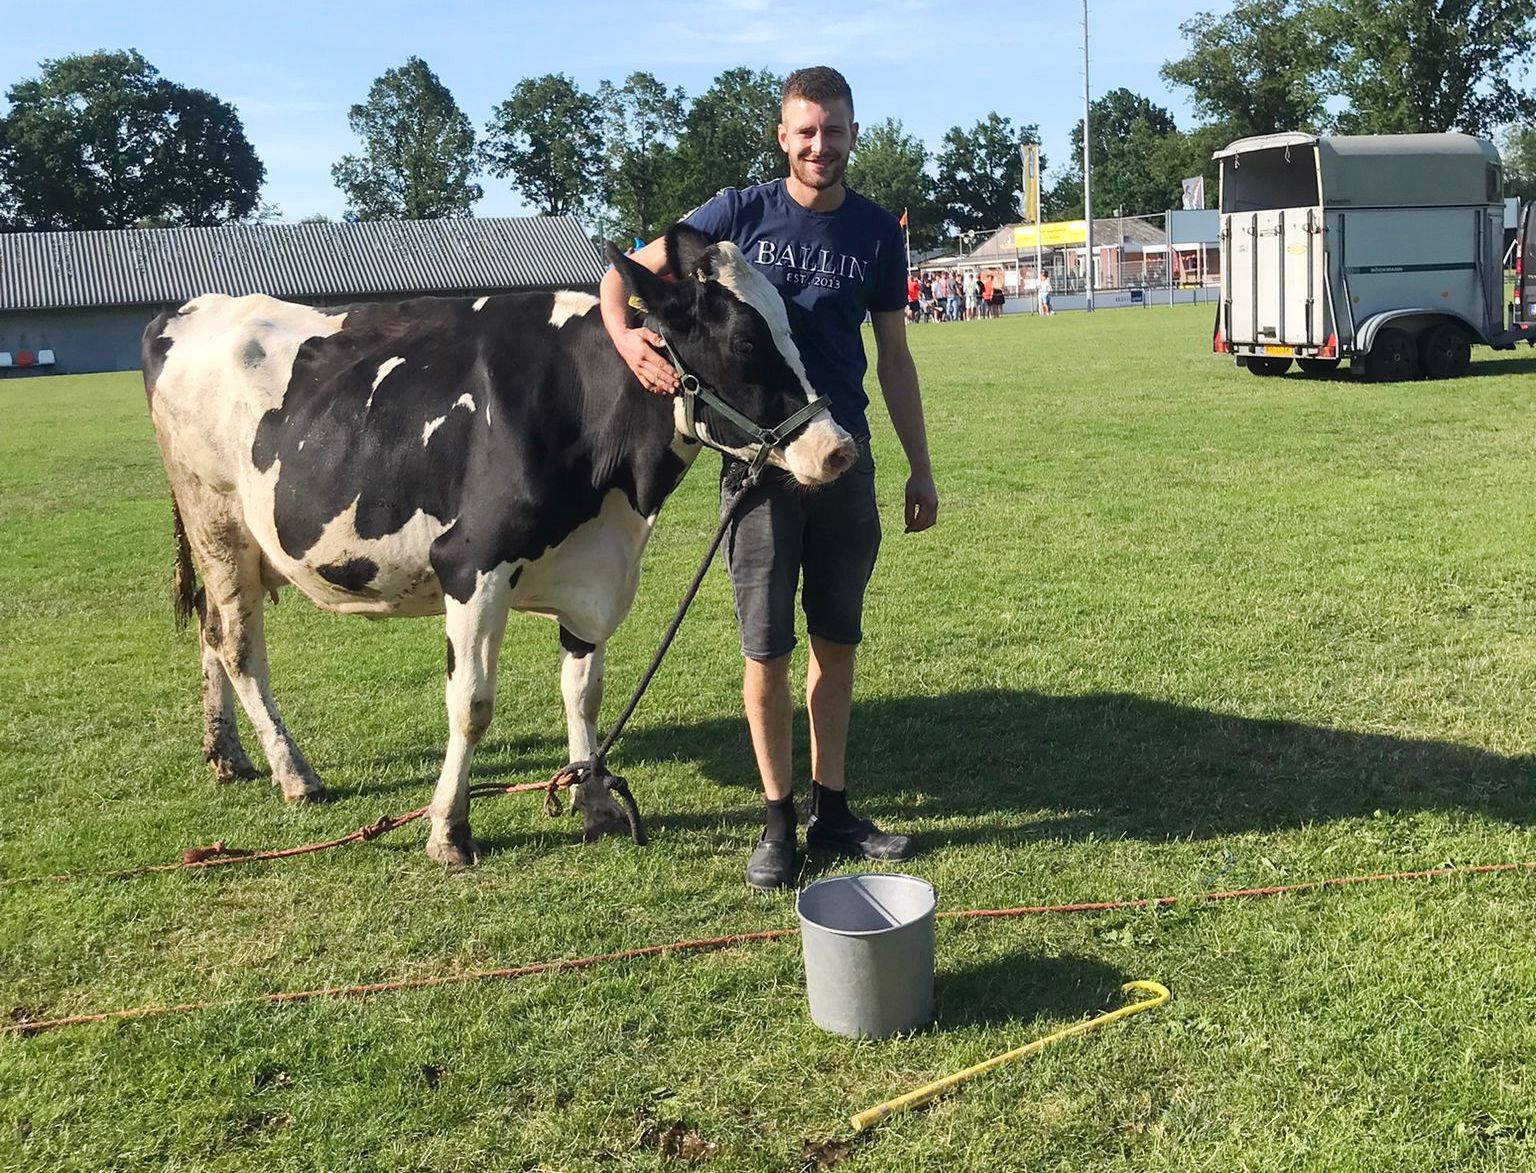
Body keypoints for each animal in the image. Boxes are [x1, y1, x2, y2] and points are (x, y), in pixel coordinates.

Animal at [142, 224, 857, 866]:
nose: (837, 448)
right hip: (217, 522)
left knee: (209, 630)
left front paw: (593, 802)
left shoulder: (594, 573)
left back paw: (226, 755)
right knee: (237, 645)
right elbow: (471, 705)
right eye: (743, 340)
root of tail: (190, 308)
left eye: (792, 328)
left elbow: (583, 691)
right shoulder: (472, 566)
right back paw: (294, 773)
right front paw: (448, 832)